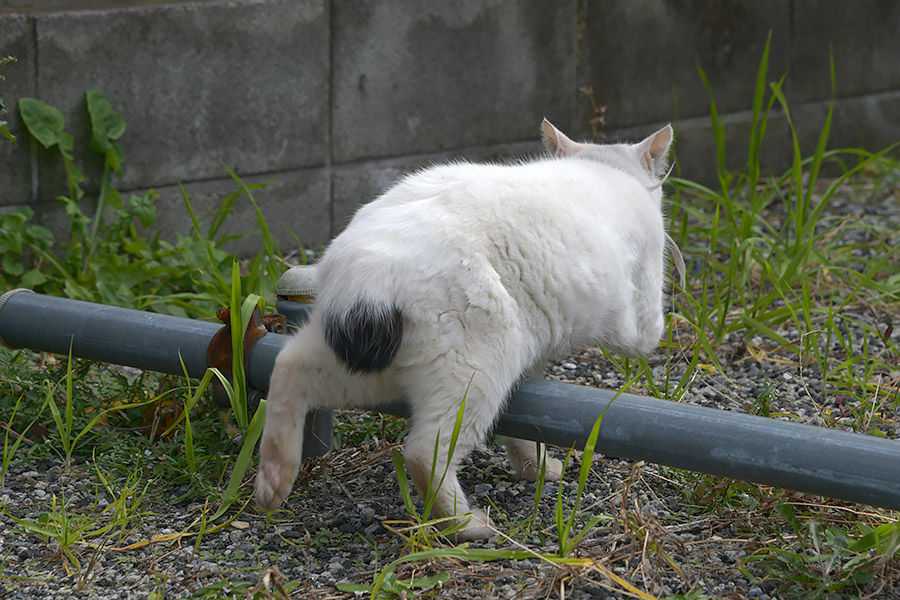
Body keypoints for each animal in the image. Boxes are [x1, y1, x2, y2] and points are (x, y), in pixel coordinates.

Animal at [256, 119, 672, 540]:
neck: (602, 167)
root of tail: (367, 270)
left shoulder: (534, 358)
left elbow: (525, 430)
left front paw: (534, 468)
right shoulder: (638, 314)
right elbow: (648, 333)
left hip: (359, 368)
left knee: (288, 366)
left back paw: (273, 480)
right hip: (478, 370)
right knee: (423, 453)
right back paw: (467, 526)